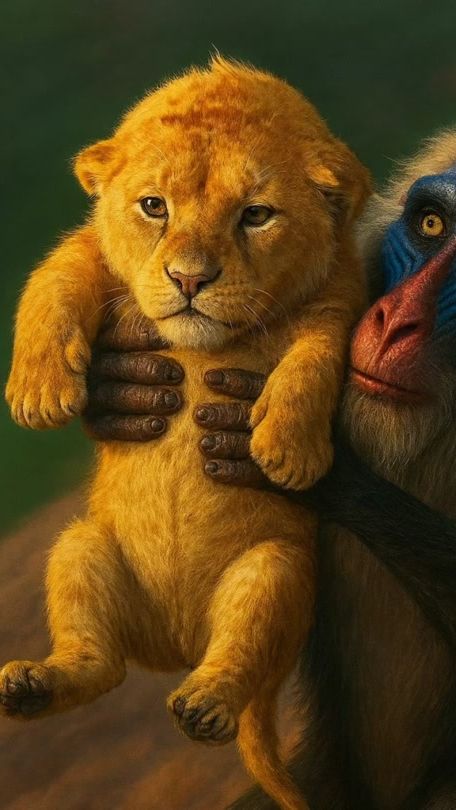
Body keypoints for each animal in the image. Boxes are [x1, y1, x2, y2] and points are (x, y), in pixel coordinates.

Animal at [3, 57, 370, 809]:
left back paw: (205, 705)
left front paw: (286, 450)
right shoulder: (91, 255)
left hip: (275, 572)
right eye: (153, 207)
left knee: (238, 653)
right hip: (83, 546)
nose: (189, 278)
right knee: (103, 664)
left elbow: (320, 354)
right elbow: (53, 278)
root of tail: (176, 647)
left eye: (255, 215)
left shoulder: (340, 297)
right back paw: (34, 684)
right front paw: (39, 391)